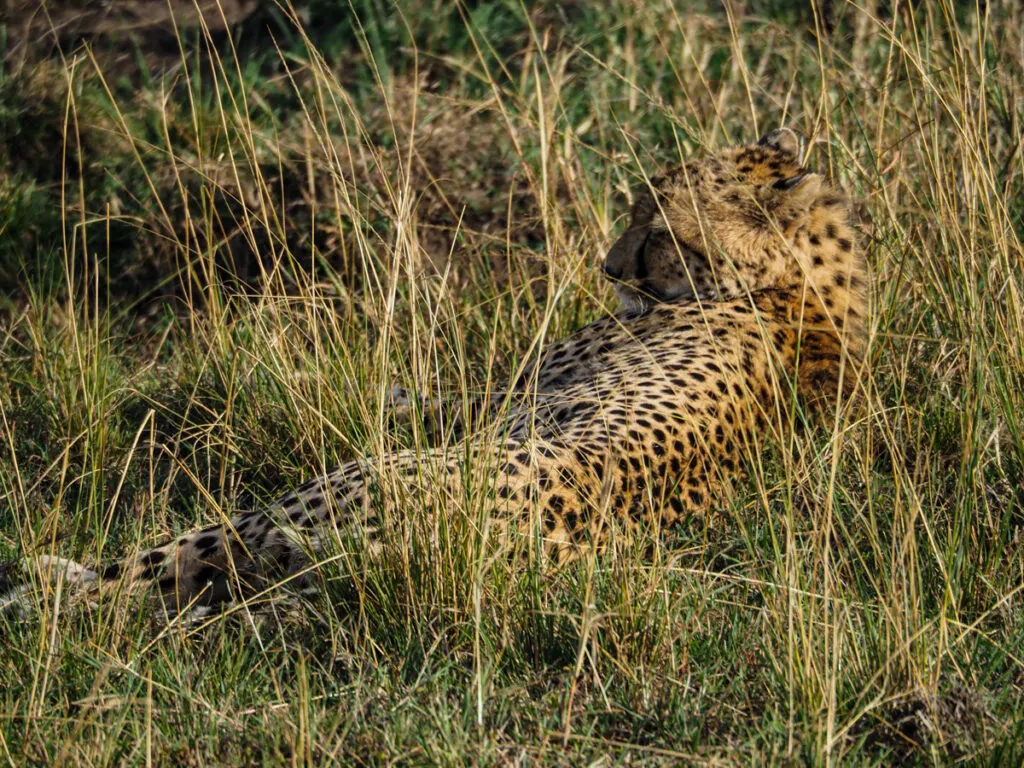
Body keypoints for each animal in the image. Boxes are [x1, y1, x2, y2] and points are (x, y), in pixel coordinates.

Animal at [2, 128, 864, 618]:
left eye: (657, 230)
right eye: (636, 212)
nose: (608, 268)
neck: (799, 288)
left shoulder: (504, 396)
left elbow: (436, 395)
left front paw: (347, 388)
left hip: (293, 505)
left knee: (156, 573)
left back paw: (40, 585)